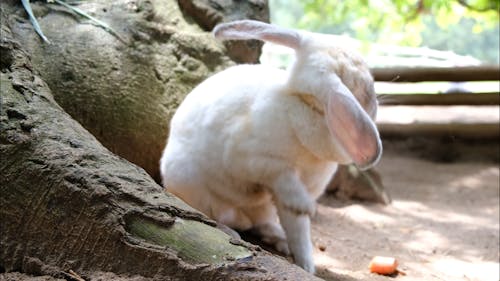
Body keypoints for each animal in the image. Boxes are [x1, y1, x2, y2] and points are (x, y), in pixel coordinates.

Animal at [160, 19, 382, 272]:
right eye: (365, 87)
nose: (375, 105)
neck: (303, 104)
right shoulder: (259, 161)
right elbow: (286, 185)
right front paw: (305, 206)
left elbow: (298, 228)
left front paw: (306, 265)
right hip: (195, 188)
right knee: (208, 216)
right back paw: (231, 232)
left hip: (260, 207)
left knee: (261, 222)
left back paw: (279, 239)